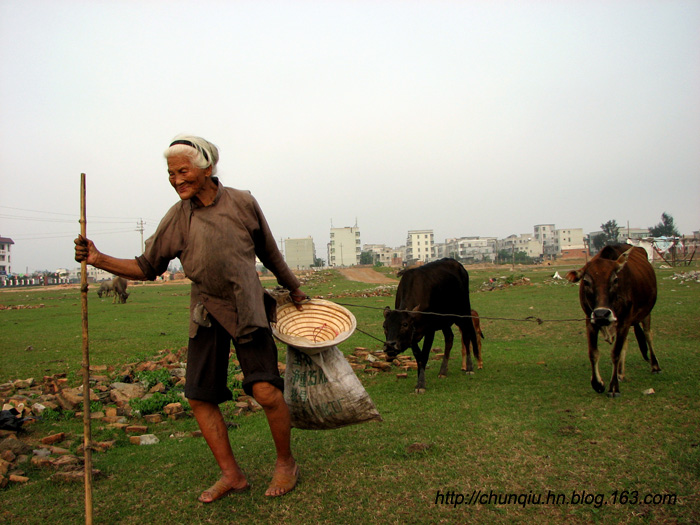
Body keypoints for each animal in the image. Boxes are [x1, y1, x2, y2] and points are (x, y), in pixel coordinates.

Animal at [382, 258, 482, 392]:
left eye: (404, 324)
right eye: (384, 326)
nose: (389, 346)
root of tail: (459, 265)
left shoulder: (430, 330)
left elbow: (424, 355)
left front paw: (421, 384)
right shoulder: (412, 337)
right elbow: (418, 357)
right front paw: (419, 379)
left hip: (463, 312)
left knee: (467, 337)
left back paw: (470, 368)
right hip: (445, 322)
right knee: (449, 339)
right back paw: (443, 371)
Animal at [568, 244, 660, 396]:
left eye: (615, 280)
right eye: (586, 281)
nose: (602, 314)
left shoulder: (625, 320)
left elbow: (615, 353)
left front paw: (614, 387)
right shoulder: (590, 320)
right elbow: (593, 353)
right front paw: (598, 384)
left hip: (647, 311)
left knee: (648, 334)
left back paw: (655, 366)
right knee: (626, 342)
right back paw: (620, 373)